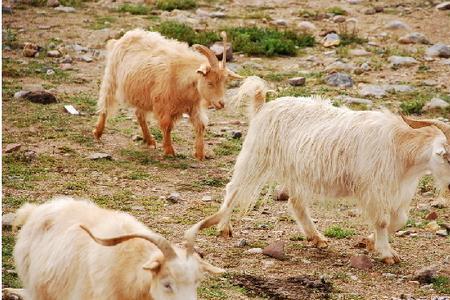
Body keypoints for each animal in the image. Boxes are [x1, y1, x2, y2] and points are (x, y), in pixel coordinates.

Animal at [92, 28, 243, 159]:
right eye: (210, 83)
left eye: (224, 83)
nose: (221, 103)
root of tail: (126, 36)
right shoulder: (163, 105)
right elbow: (167, 126)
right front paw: (169, 151)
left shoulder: (193, 107)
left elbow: (200, 126)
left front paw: (200, 154)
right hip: (111, 76)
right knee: (105, 104)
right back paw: (98, 132)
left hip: (142, 93)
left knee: (139, 114)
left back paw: (149, 140)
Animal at [189, 81, 450, 262]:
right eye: (446, 156)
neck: (400, 146)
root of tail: (263, 106)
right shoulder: (373, 191)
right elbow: (383, 221)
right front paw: (386, 253)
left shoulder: (398, 192)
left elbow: (399, 220)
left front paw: (368, 242)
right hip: (255, 156)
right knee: (234, 188)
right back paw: (224, 227)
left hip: (296, 171)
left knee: (295, 203)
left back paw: (316, 238)